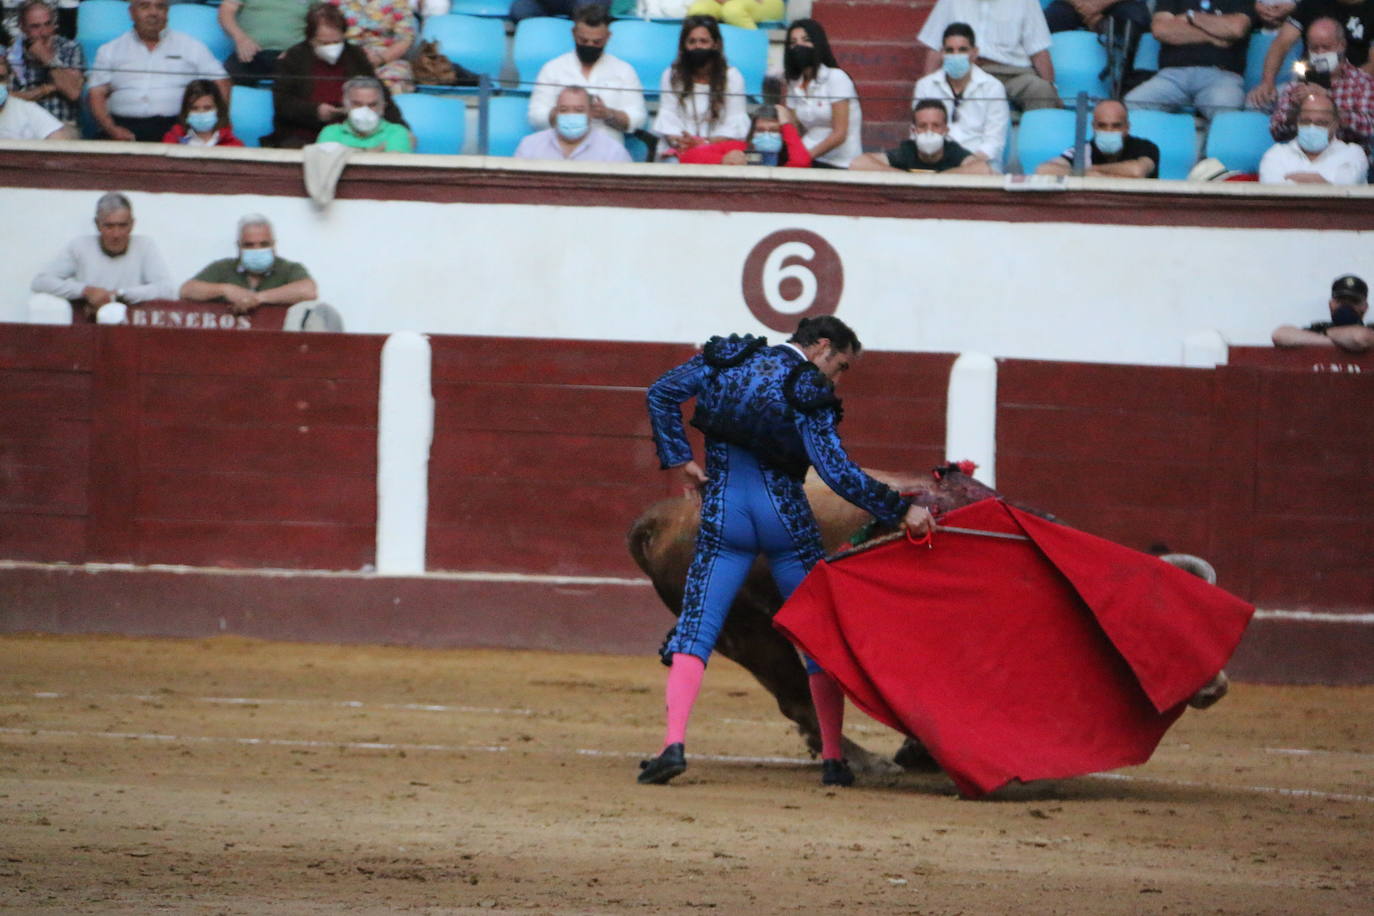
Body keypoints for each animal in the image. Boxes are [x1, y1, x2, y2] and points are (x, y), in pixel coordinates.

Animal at [629, 469, 1231, 780]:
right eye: (1162, 623)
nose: (1217, 687)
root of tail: (664, 516)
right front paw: (925, 751)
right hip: (751, 629)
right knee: (797, 695)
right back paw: (864, 761)